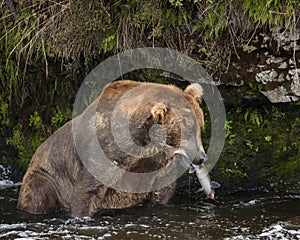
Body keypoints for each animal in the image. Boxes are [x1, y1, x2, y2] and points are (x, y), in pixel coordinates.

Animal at [17, 80, 206, 218]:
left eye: (200, 126)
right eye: (188, 128)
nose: (201, 157)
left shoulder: (157, 164)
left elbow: (162, 190)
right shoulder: (103, 151)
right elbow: (86, 191)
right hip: (47, 176)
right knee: (39, 194)